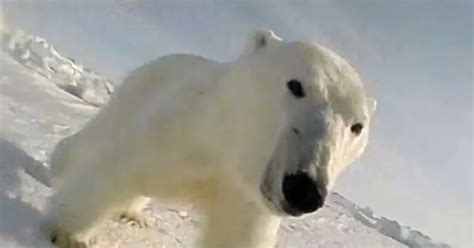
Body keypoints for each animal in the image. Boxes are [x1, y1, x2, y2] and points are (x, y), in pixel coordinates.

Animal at [44, 29, 378, 248]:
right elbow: (113, 170)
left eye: (357, 126)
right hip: (131, 96)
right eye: (296, 85)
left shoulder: (247, 197)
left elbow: (238, 235)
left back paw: (134, 214)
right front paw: (69, 235)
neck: (225, 147)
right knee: (92, 141)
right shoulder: (174, 129)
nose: (305, 190)